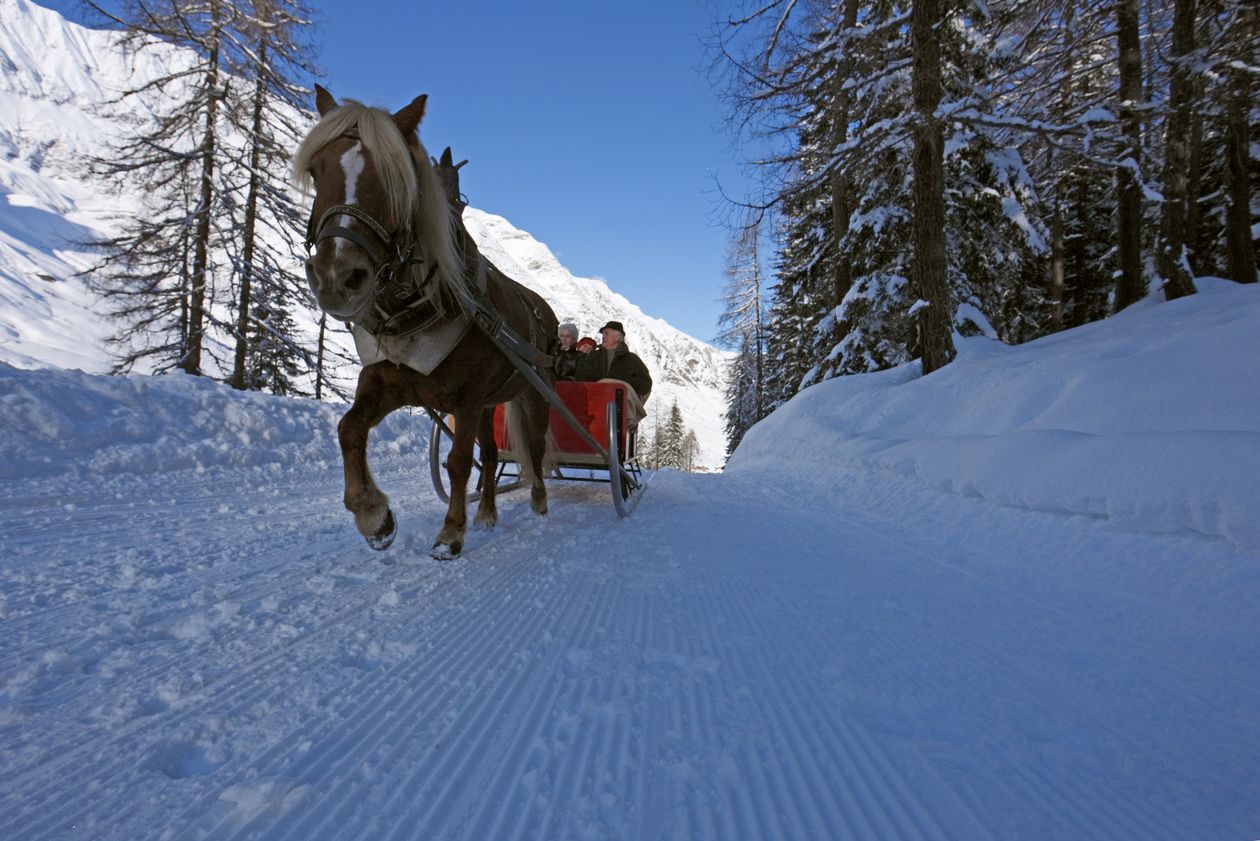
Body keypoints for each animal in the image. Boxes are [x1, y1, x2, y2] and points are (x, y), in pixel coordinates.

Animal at [294, 85, 556, 559]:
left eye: (395, 178)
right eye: (316, 171)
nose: (337, 277)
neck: (417, 307)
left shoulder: (467, 397)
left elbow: (457, 463)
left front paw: (450, 534)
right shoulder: (388, 381)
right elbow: (348, 429)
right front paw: (374, 516)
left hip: (534, 394)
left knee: (535, 446)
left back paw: (539, 503)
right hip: (490, 403)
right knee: (492, 454)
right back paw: (486, 513)